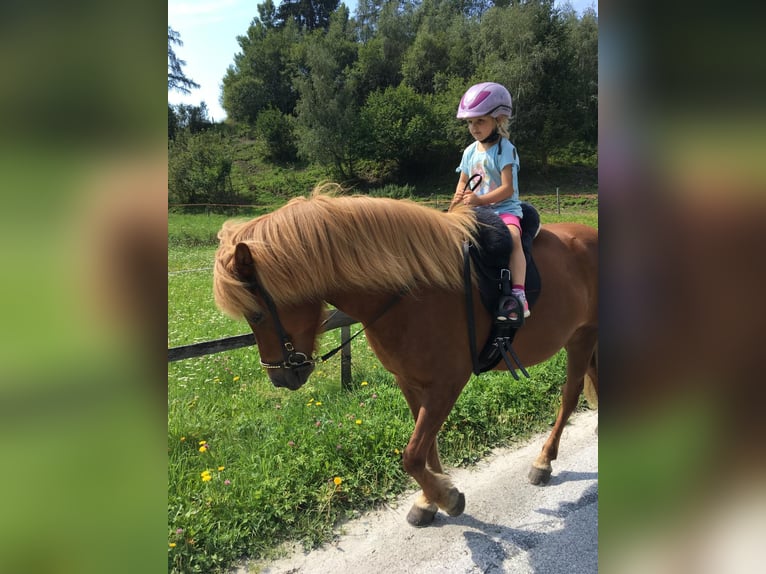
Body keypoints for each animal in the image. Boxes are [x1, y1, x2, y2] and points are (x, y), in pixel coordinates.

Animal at [213, 186, 598, 527]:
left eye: (256, 315)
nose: (279, 377)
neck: (411, 290)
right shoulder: (411, 382)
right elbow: (426, 448)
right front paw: (430, 500)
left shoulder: (447, 383)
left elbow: (412, 455)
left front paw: (447, 497)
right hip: (580, 338)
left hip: (583, 337)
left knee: (570, 394)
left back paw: (543, 462)